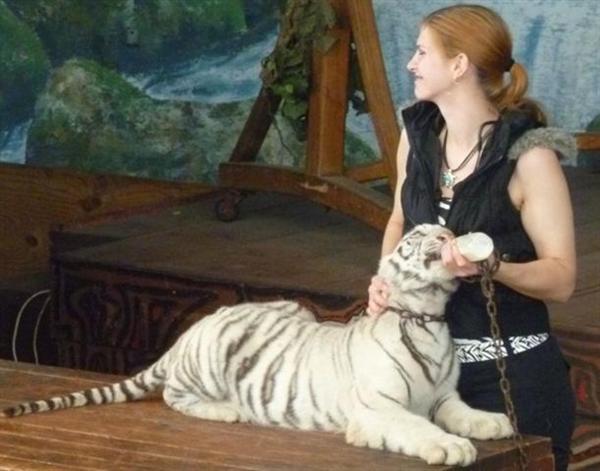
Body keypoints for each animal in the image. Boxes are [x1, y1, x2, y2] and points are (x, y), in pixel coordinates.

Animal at [2, 225, 512, 468]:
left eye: (444, 229)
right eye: (416, 236)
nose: (448, 236)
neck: (427, 316)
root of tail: (189, 334)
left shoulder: (443, 396)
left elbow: (461, 412)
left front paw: (492, 423)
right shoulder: (379, 407)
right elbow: (418, 427)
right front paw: (451, 447)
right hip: (206, 363)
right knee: (173, 395)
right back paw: (227, 410)